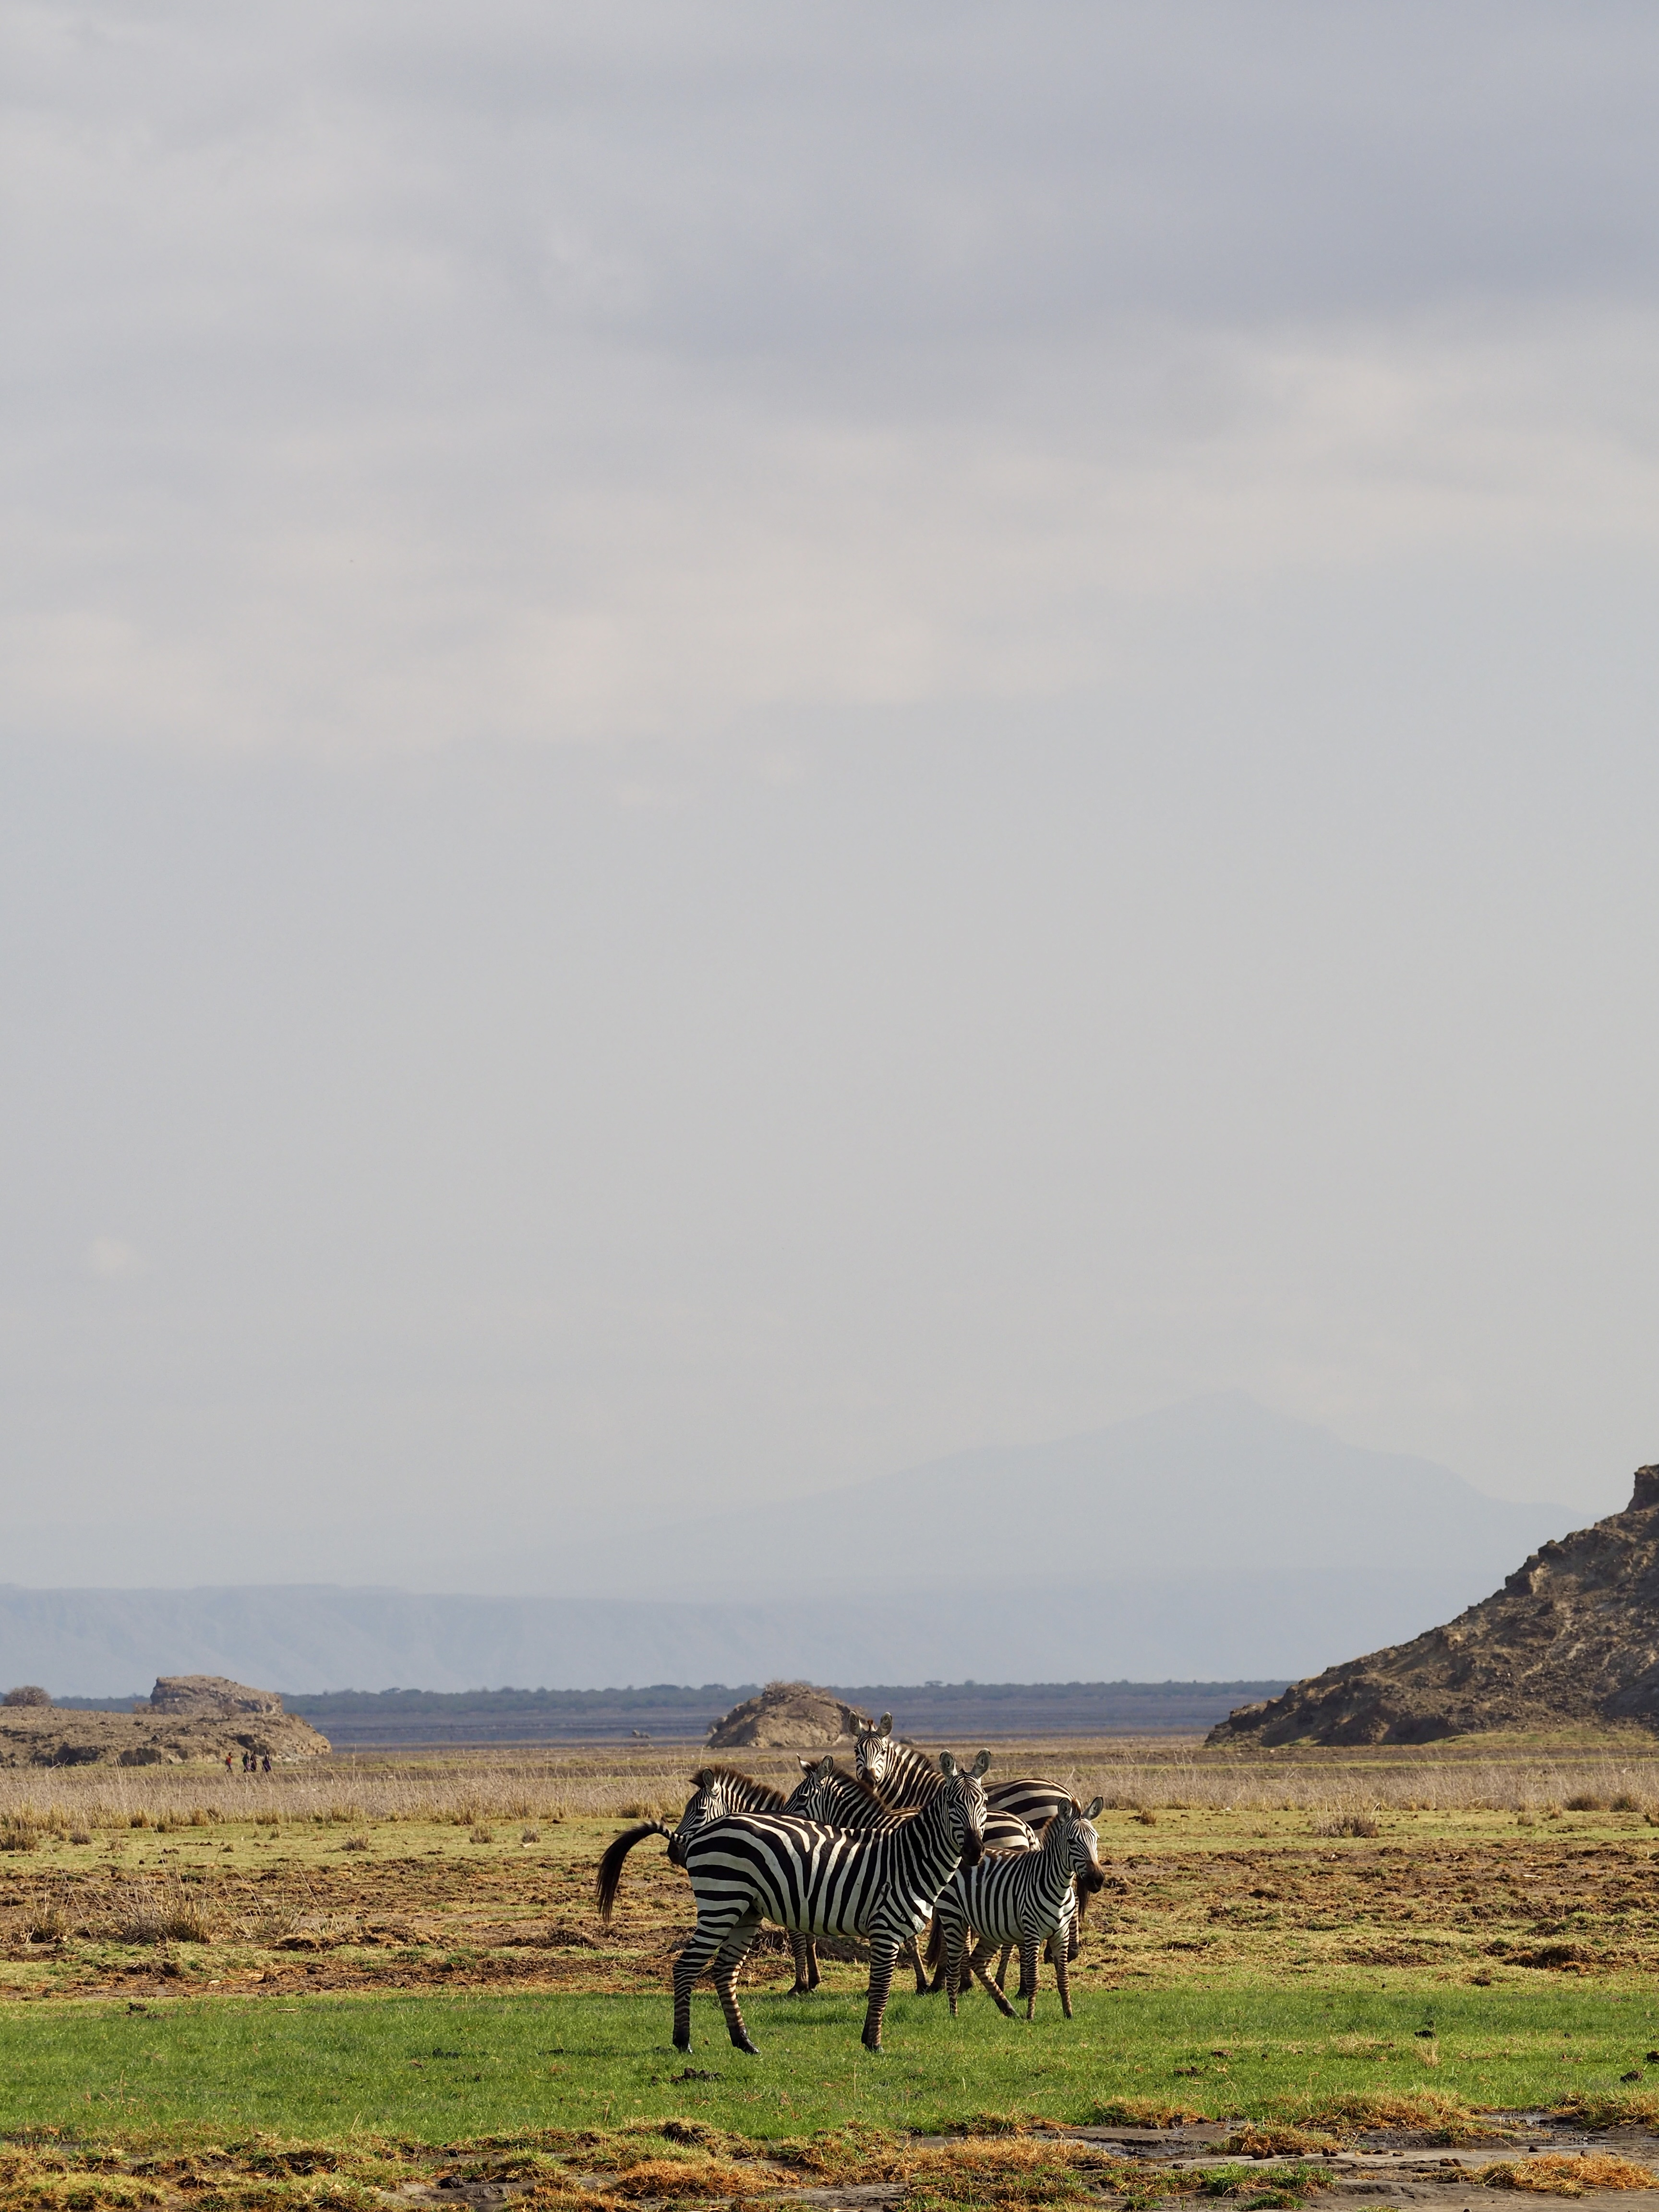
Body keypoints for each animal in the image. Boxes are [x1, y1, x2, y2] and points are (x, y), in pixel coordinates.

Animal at [668, 1743, 995, 2053]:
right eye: (953, 1803)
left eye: (983, 1803)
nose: (975, 1851)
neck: (909, 1857)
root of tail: (707, 1832)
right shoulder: (884, 1929)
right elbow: (881, 1988)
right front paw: (874, 2043)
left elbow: (879, 1981)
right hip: (721, 1903)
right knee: (686, 1967)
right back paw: (683, 2041)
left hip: (745, 1910)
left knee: (724, 1970)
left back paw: (744, 2042)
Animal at [929, 1796, 1110, 2026]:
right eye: (1072, 1842)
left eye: (1096, 1840)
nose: (1097, 1880)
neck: (1058, 1885)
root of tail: (961, 1855)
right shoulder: (1033, 1932)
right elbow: (1034, 1979)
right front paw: (1031, 2016)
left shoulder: (1061, 1933)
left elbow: (1063, 1979)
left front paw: (1069, 2015)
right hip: (954, 1918)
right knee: (954, 1970)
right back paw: (955, 2015)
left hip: (993, 1926)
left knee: (978, 1961)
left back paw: (1008, 2009)